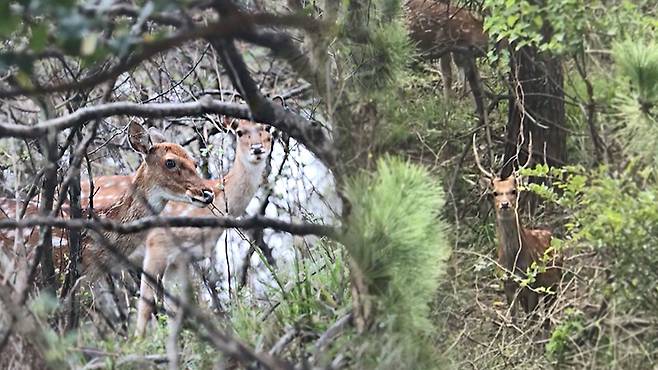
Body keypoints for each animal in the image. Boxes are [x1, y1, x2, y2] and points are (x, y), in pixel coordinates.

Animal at [76, 119, 272, 338]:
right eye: (239, 131)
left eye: (268, 129)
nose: (257, 149)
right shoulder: (157, 245)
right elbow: (146, 306)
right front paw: (139, 341)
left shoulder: (180, 258)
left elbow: (175, 310)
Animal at [472, 134, 560, 320]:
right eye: (495, 193)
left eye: (514, 190)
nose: (504, 204)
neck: (513, 262)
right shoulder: (507, 284)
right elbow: (514, 318)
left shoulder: (531, 283)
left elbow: (530, 319)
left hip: (553, 283)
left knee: (547, 315)